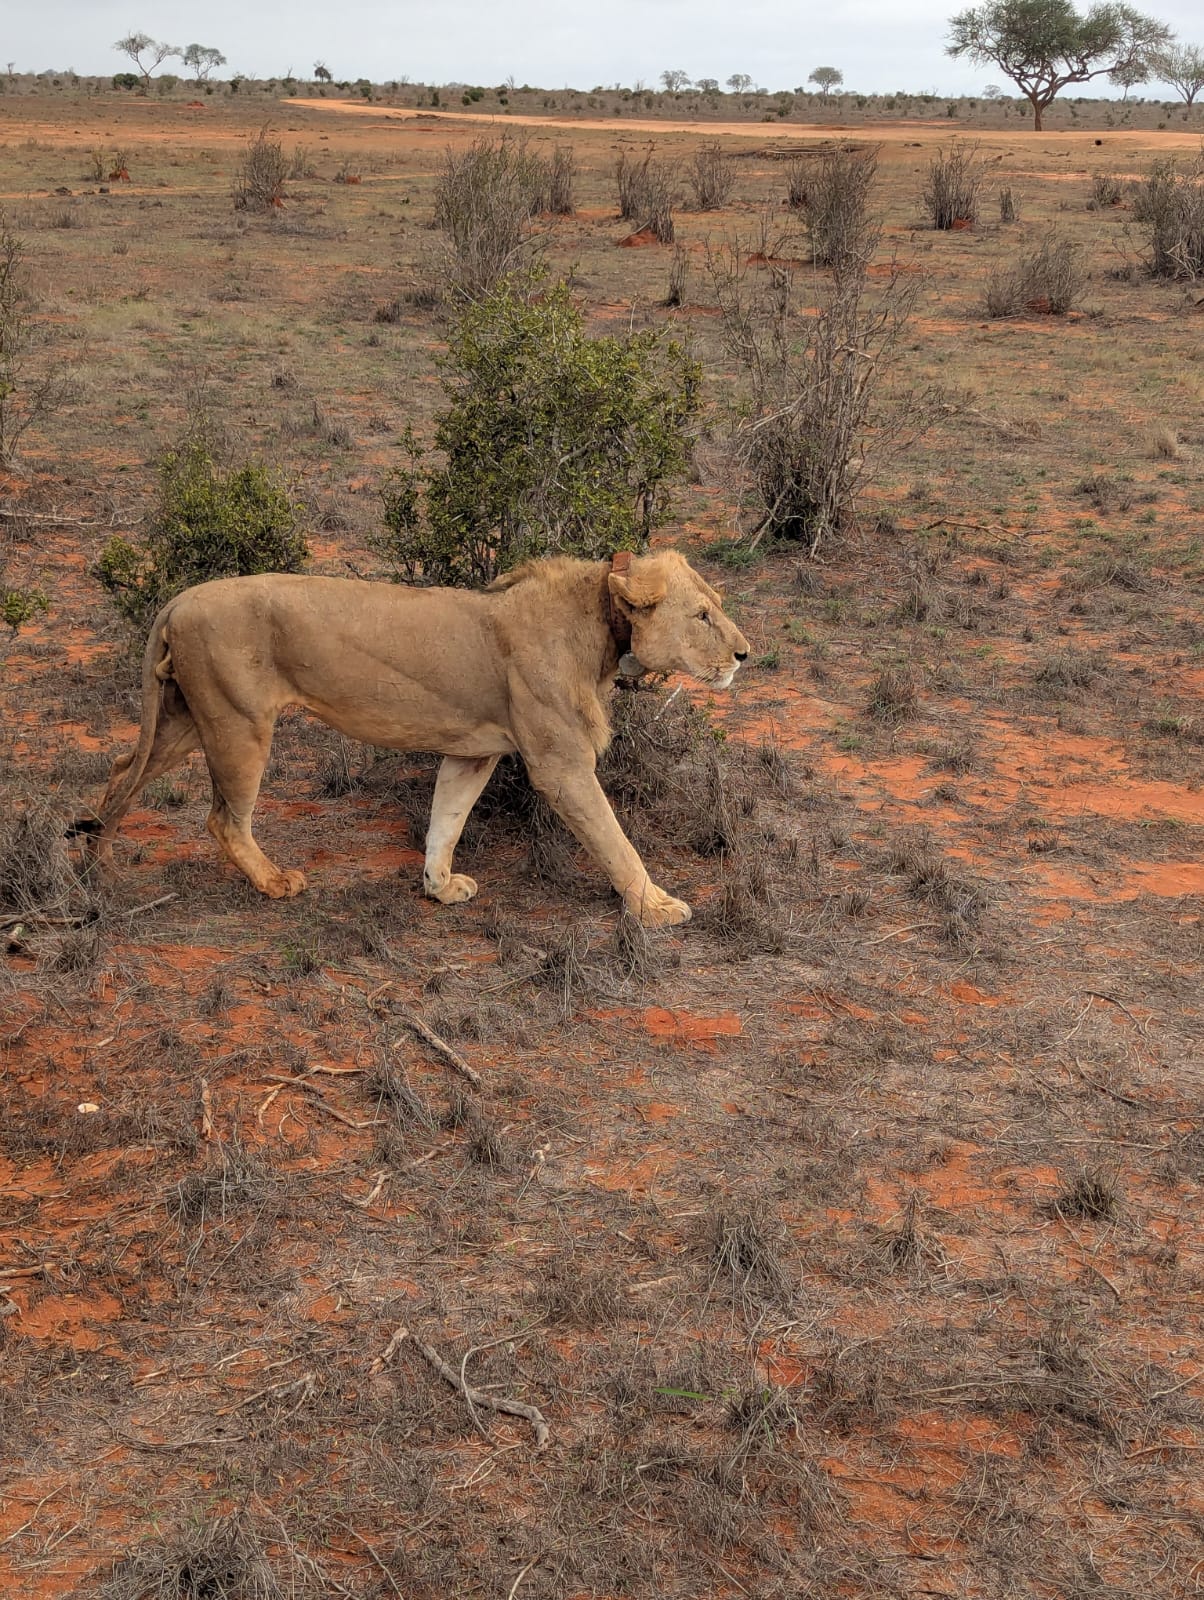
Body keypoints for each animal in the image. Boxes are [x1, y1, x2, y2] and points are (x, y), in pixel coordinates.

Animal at [77, 549, 749, 927]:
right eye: (702, 615)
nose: (745, 654)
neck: (602, 628)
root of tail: (178, 599)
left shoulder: (474, 752)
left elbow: (445, 820)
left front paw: (439, 887)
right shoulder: (561, 765)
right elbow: (615, 842)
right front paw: (655, 907)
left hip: (187, 720)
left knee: (118, 773)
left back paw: (97, 864)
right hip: (237, 724)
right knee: (223, 819)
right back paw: (273, 883)